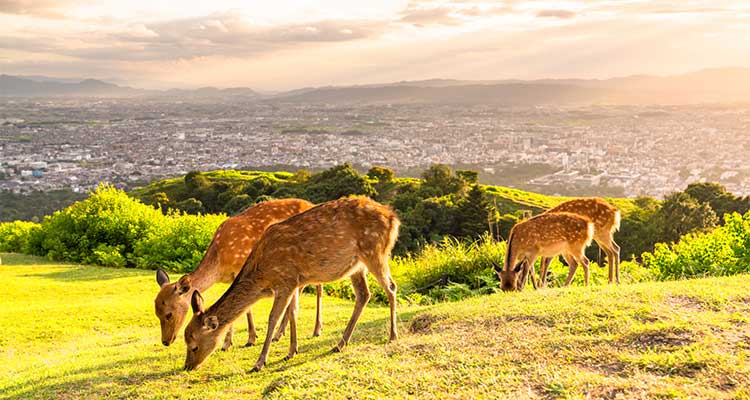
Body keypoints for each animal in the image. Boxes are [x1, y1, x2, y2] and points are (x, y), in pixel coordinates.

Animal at [154, 198, 324, 350]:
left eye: (168, 314)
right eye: (156, 313)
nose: (166, 341)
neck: (220, 262)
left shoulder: (240, 266)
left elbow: (246, 308)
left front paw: (239, 341)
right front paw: (239, 340)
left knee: (318, 287)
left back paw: (316, 330)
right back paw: (280, 334)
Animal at [183, 197, 402, 372]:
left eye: (194, 345)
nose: (187, 366)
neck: (262, 273)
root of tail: (394, 218)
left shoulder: (285, 280)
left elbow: (273, 317)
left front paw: (259, 362)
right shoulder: (295, 282)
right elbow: (294, 312)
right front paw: (291, 352)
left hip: (375, 251)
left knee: (391, 287)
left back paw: (392, 336)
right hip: (357, 265)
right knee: (364, 294)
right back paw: (340, 344)